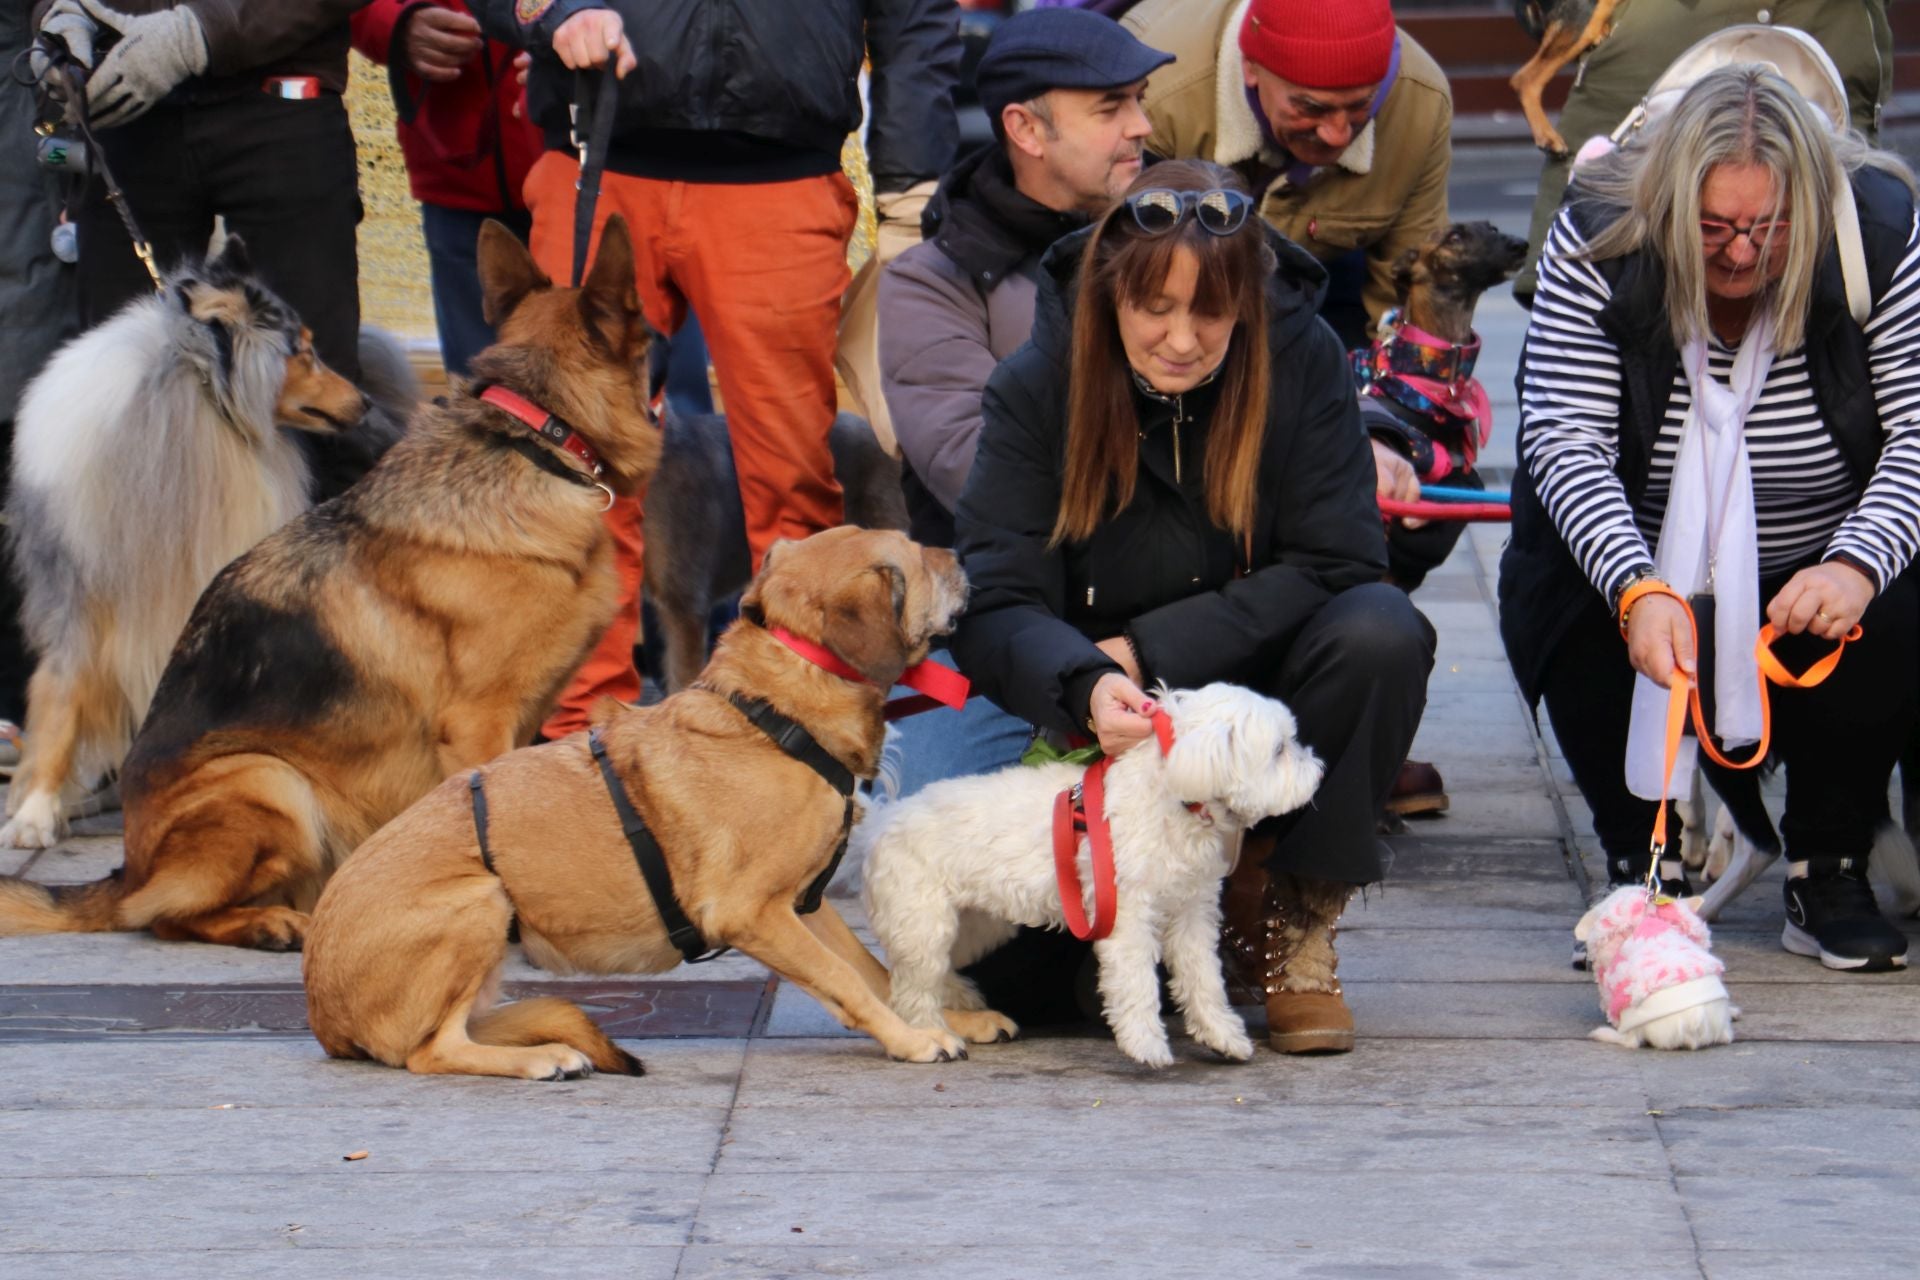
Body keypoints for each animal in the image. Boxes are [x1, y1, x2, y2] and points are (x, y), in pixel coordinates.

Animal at [1, 238, 408, 852]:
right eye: (301, 351)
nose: (362, 402)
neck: (197, 413)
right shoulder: (80, 596)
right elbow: (61, 698)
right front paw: (34, 813)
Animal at [307, 529, 983, 1082]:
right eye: (916, 552)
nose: (962, 553)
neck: (775, 715)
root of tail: (322, 1011)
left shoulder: (801, 904)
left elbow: (874, 971)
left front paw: (947, 1019)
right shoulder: (750, 912)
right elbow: (848, 980)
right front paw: (912, 1040)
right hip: (480, 899)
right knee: (431, 1050)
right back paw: (538, 1059)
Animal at [867, 687, 1328, 1066]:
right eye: (1280, 750)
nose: (1320, 770)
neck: (1170, 799)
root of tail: (884, 819)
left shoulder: (1192, 914)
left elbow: (1203, 980)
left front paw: (1221, 1035)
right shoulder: (1127, 914)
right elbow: (1136, 980)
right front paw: (1145, 1043)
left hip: (978, 923)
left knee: (941, 969)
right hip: (924, 924)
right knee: (911, 991)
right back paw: (931, 1034)